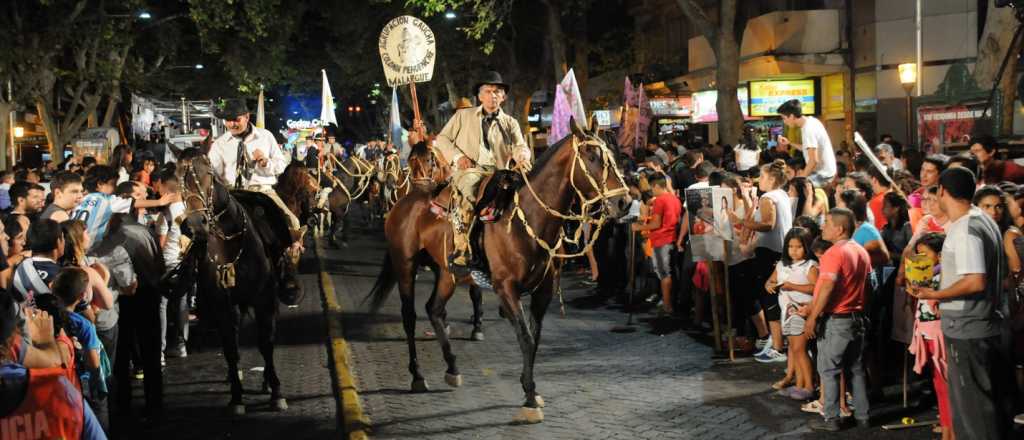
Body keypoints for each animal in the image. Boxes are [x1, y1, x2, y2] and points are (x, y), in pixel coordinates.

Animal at [364, 120, 626, 423]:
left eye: (612, 156)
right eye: (591, 156)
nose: (624, 202)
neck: (528, 218)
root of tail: (406, 200)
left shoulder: (543, 291)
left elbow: (534, 339)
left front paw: (530, 389)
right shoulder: (506, 288)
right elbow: (525, 337)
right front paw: (529, 399)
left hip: (447, 273)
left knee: (434, 309)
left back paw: (452, 368)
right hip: (405, 266)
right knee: (410, 316)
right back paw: (417, 376)